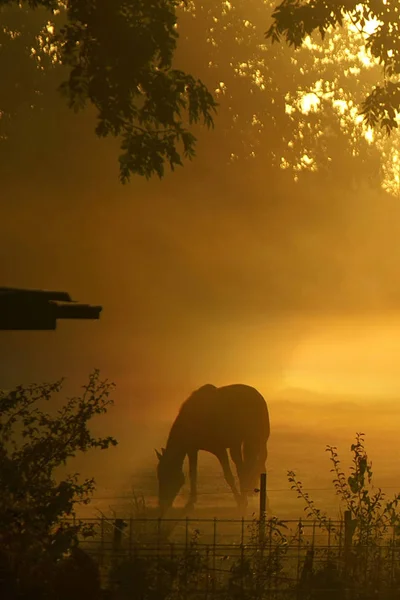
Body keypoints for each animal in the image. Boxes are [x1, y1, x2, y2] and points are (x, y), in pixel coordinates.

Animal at [155, 384, 270, 516]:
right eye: (159, 475)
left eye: (169, 475)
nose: (162, 504)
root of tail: (257, 394)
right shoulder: (192, 450)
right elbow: (193, 473)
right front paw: (191, 502)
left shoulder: (220, 450)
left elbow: (228, 476)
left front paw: (240, 501)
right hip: (238, 445)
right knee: (245, 468)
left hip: (260, 440)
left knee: (259, 465)